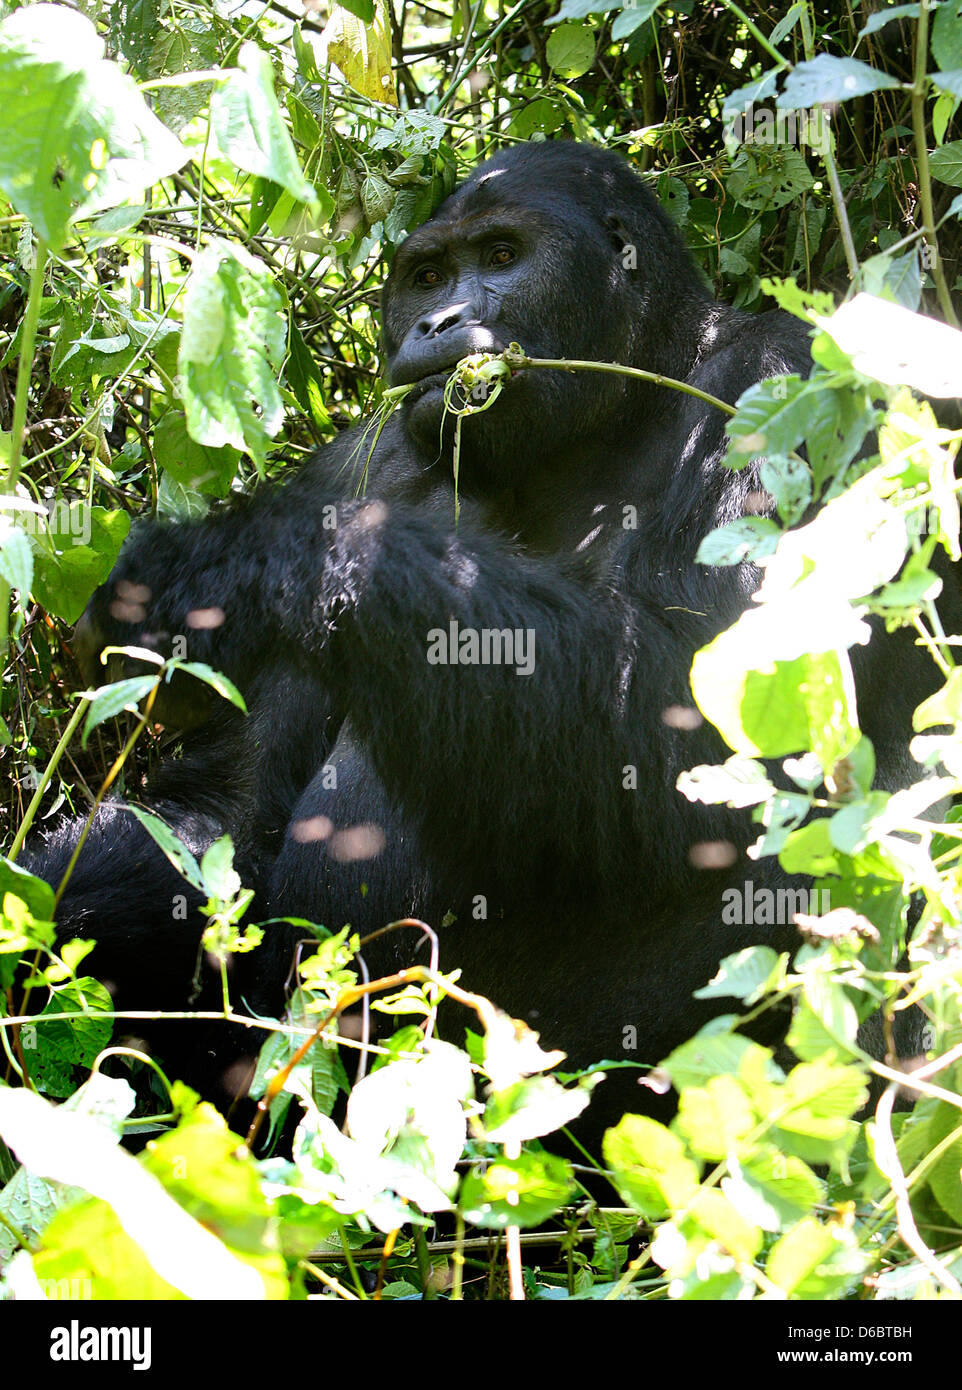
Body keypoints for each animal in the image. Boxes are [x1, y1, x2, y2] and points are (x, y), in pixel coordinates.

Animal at [22, 138, 945, 1139]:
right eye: (427, 276)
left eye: (502, 256)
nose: (438, 321)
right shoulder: (362, 459)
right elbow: (228, 813)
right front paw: (53, 906)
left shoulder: (791, 382)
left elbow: (727, 726)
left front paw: (258, 560)